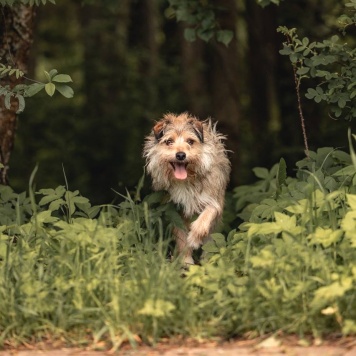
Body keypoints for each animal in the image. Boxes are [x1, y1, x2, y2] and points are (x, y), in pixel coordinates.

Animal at [143, 112, 232, 264]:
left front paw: (194, 238)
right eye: (169, 141)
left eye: (190, 141)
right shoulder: (175, 209)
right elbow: (181, 236)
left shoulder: (214, 200)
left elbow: (206, 216)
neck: (186, 181)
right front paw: (186, 260)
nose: (180, 155)